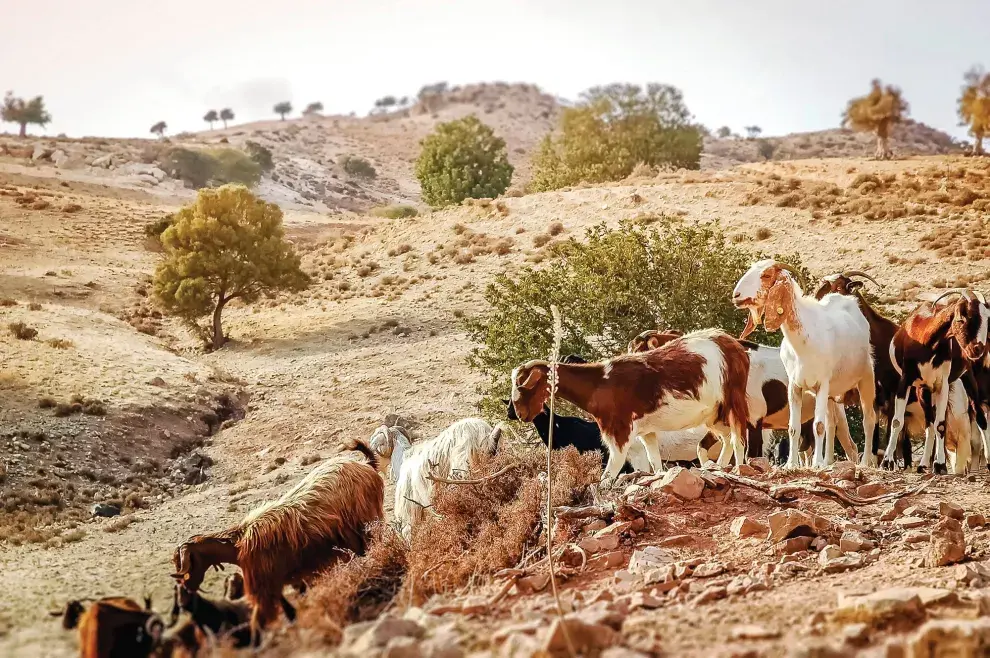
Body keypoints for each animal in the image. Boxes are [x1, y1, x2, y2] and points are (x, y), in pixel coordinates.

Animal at [172, 438, 386, 644]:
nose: (186, 586)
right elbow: (289, 612)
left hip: (365, 523)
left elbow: (258, 621)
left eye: (187, 563)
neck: (238, 545)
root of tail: (365, 465)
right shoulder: (279, 581)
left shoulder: (265, 587)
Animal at [516, 326, 748, 476]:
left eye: (524, 385)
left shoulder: (619, 435)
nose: (519, 413)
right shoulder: (646, 432)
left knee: (738, 439)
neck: (599, 383)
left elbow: (609, 475)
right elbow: (655, 463)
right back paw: (719, 467)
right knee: (727, 439)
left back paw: (738, 469)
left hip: (734, 402)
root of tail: (731, 343)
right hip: (713, 415)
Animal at [732, 258, 880, 468]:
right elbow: (794, 428)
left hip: (866, 377)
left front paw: (817, 464)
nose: (736, 295)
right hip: (832, 396)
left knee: (868, 420)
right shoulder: (795, 386)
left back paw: (864, 462)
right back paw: (828, 461)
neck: (805, 340)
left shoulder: (822, 384)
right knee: (832, 424)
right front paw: (791, 464)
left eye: (766, 275)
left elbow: (818, 426)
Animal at [888, 288, 988, 472]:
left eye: (986, 318)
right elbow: (898, 421)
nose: (977, 349)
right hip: (923, 390)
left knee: (980, 418)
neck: (927, 342)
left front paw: (940, 465)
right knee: (929, 424)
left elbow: (940, 424)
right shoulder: (906, 381)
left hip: (967, 377)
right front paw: (887, 462)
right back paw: (923, 464)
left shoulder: (942, 385)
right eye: (962, 318)